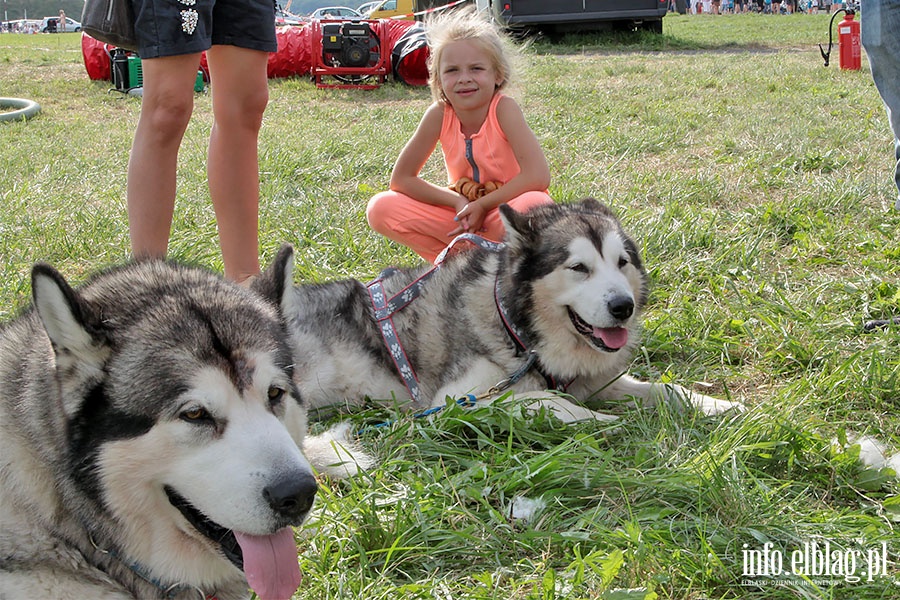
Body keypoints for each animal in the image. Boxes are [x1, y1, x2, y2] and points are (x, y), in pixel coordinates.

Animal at [284, 199, 744, 424]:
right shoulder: (458, 400)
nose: (623, 308)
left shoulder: (594, 380)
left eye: (622, 263)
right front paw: (604, 421)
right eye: (579, 268)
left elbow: (667, 389)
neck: (516, 330)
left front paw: (717, 406)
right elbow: (545, 400)